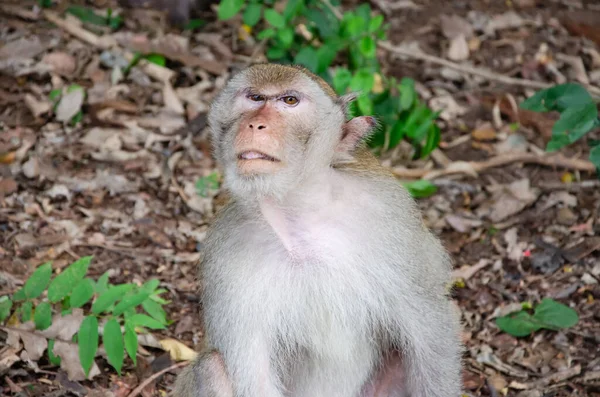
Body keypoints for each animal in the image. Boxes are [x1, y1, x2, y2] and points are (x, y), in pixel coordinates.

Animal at [173, 63, 464, 394]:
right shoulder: (225, 255)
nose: (255, 125)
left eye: (289, 101)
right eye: (255, 97)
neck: (300, 217)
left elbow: (429, 328)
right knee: (212, 367)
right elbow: (253, 373)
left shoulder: (391, 218)